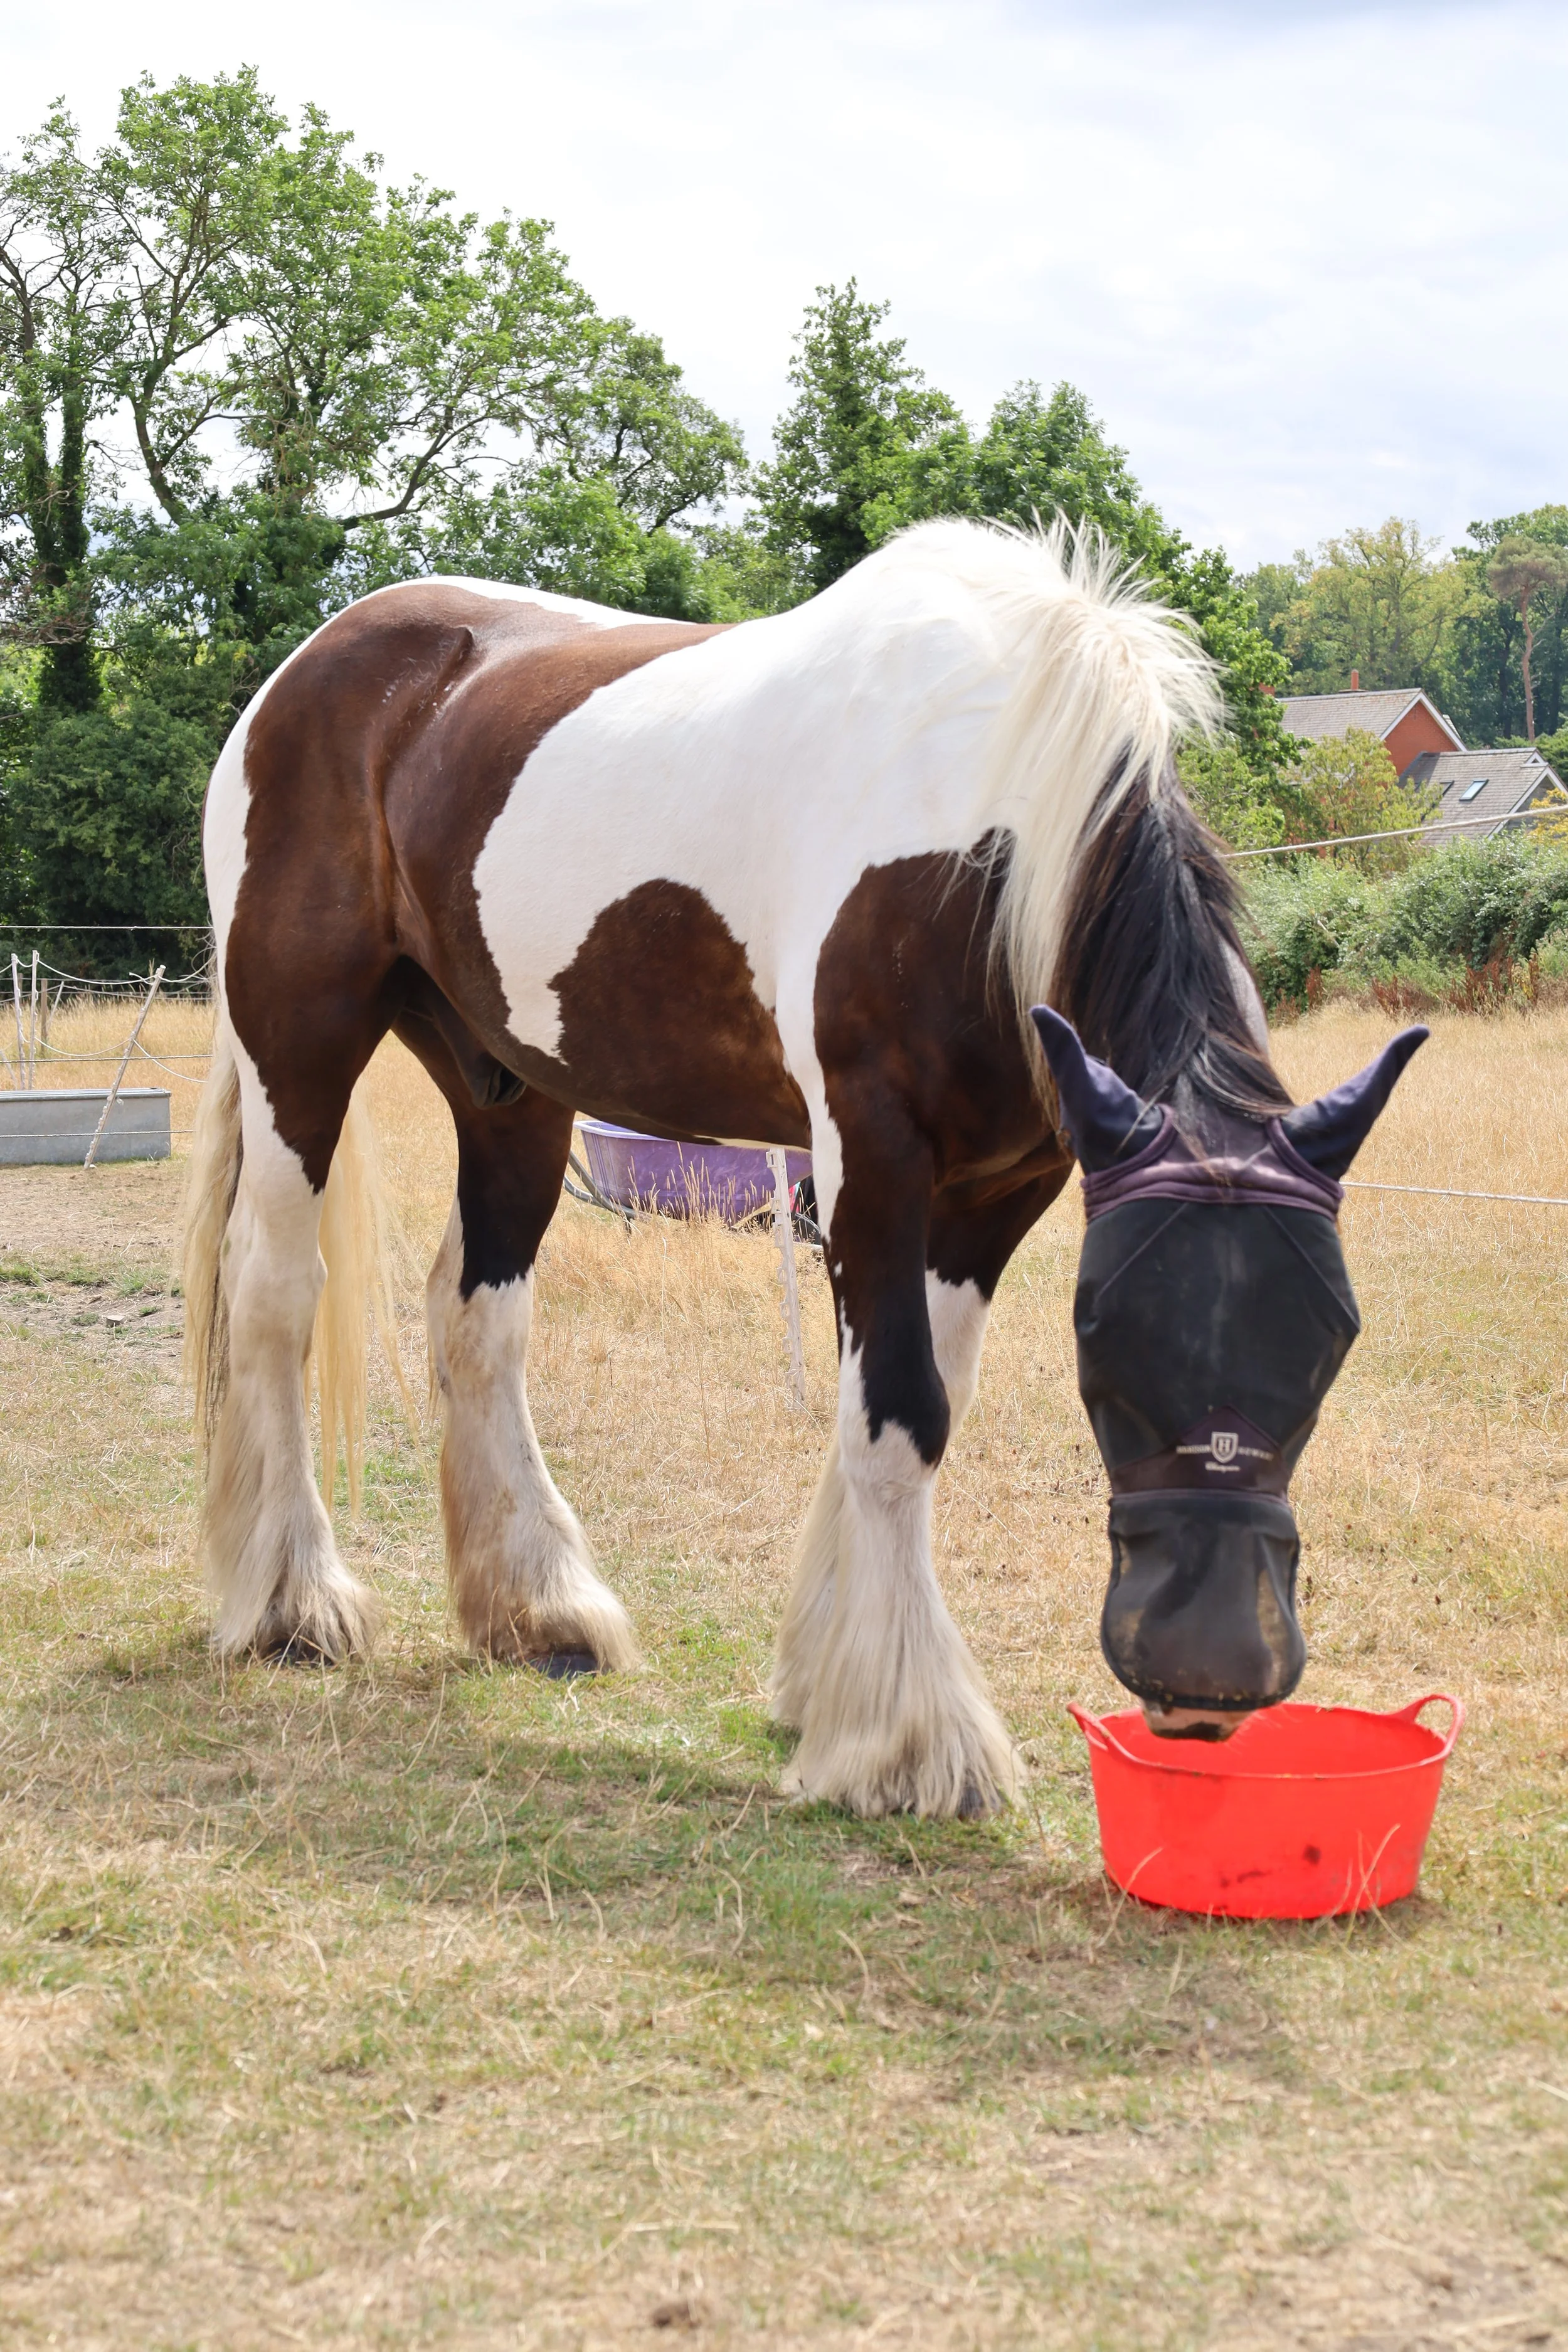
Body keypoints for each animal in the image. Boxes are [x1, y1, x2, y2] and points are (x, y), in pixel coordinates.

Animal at [182, 519, 1423, 1819]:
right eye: (1110, 1341)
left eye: (1332, 1340)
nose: (1211, 1681)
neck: (985, 827)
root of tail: (302, 672)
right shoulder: (869, 1157)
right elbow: (899, 1414)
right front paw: (909, 1741)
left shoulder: (1000, 1189)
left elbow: (906, 1402)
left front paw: (825, 1680)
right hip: (298, 1045)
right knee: (274, 1296)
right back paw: (291, 1602)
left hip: (511, 1086)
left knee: (477, 1319)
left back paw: (536, 1606)